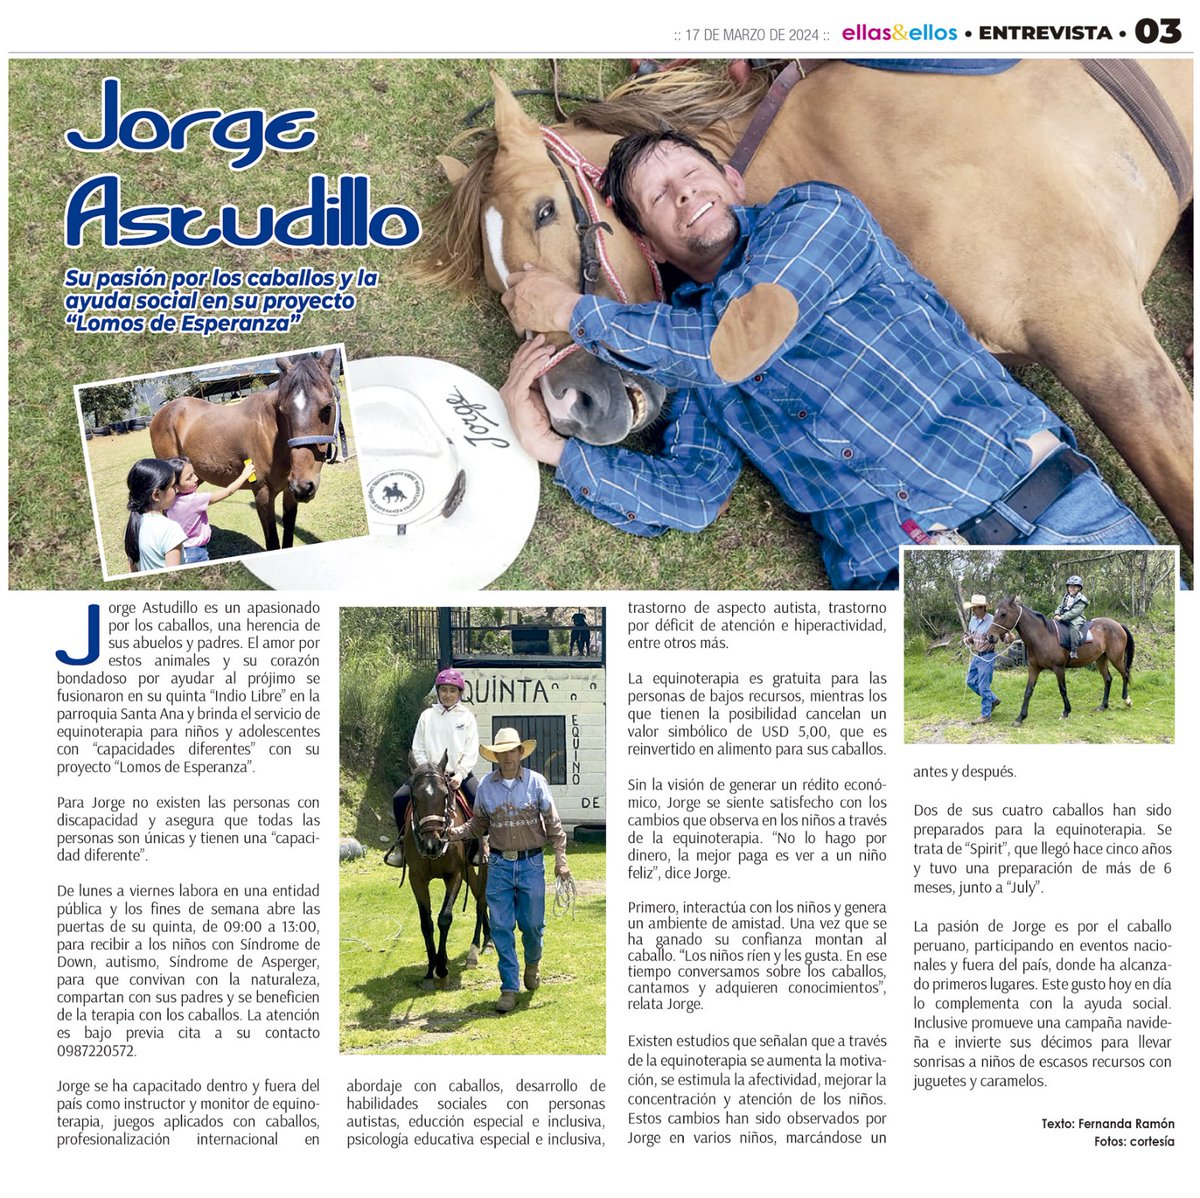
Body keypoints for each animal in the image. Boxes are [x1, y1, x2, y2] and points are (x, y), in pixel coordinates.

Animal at [149, 349, 340, 551]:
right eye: (283, 410)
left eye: (327, 408)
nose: (303, 486)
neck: (271, 433)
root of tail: (160, 415)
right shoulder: (263, 494)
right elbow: (272, 542)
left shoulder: (289, 494)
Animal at [401, 751, 490, 988]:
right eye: (415, 797)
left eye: (444, 795)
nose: (432, 844)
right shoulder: (416, 878)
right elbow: (426, 923)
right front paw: (430, 969)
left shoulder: (454, 875)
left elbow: (444, 918)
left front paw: (441, 969)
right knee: (477, 891)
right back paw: (487, 938)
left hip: (483, 864)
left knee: (481, 899)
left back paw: (478, 948)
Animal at [990, 594, 1135, 726]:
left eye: (1003, 614)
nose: (990, 636)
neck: (1043, 636)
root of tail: (1118, 625)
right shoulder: (1034, 668)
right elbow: (1028, 691)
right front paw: (1020, 717)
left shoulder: (1059, 668)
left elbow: (1063, 689)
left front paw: (1066, 712)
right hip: (1101, 659)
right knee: (1108, 679)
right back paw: (1103, 706)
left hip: (1116, 658)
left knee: (1125, 674)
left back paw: (1127, 700)